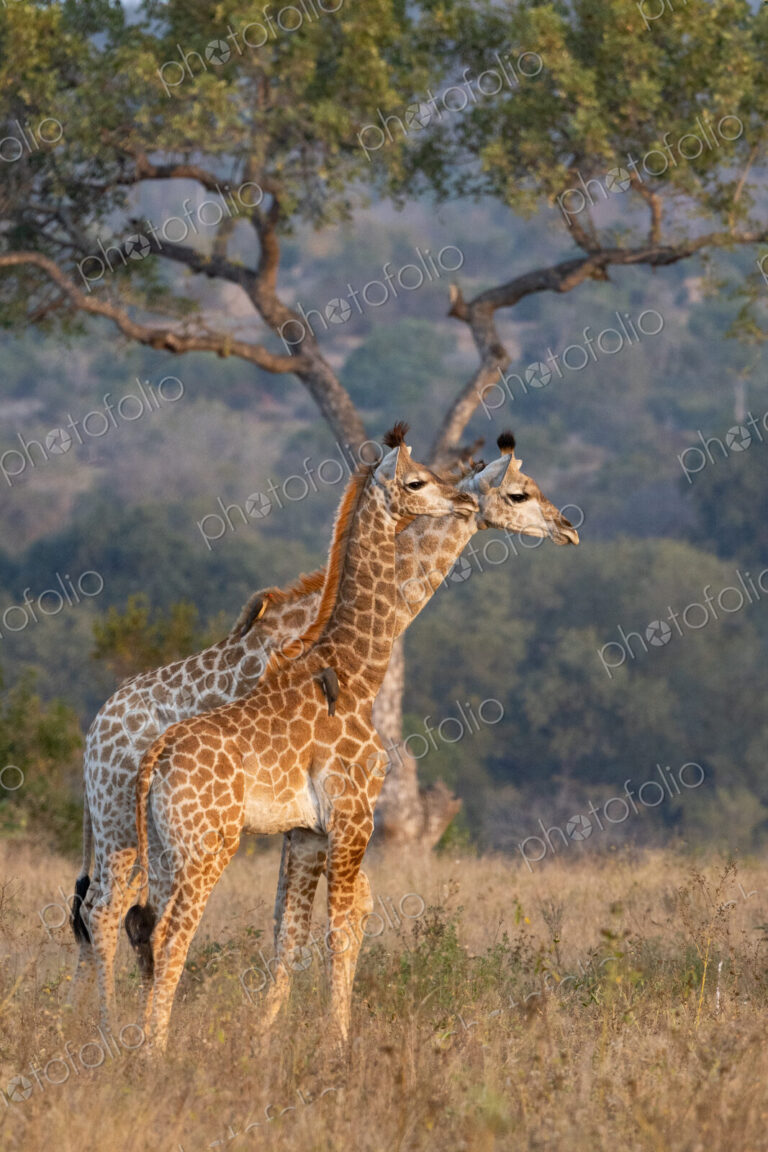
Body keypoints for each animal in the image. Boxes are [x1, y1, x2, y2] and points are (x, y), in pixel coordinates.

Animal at [125, 426, 476, 1049]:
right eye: (415, 481)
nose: (464, 501)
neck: (356, 671)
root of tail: (156, 758)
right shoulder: (352, 816)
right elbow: (338, 928)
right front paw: (337, 1040)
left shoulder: (309, 829)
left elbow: (297, 933)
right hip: (208, 845)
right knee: (171, 935)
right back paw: (155, 1052)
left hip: (166, 848)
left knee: (147, 930)